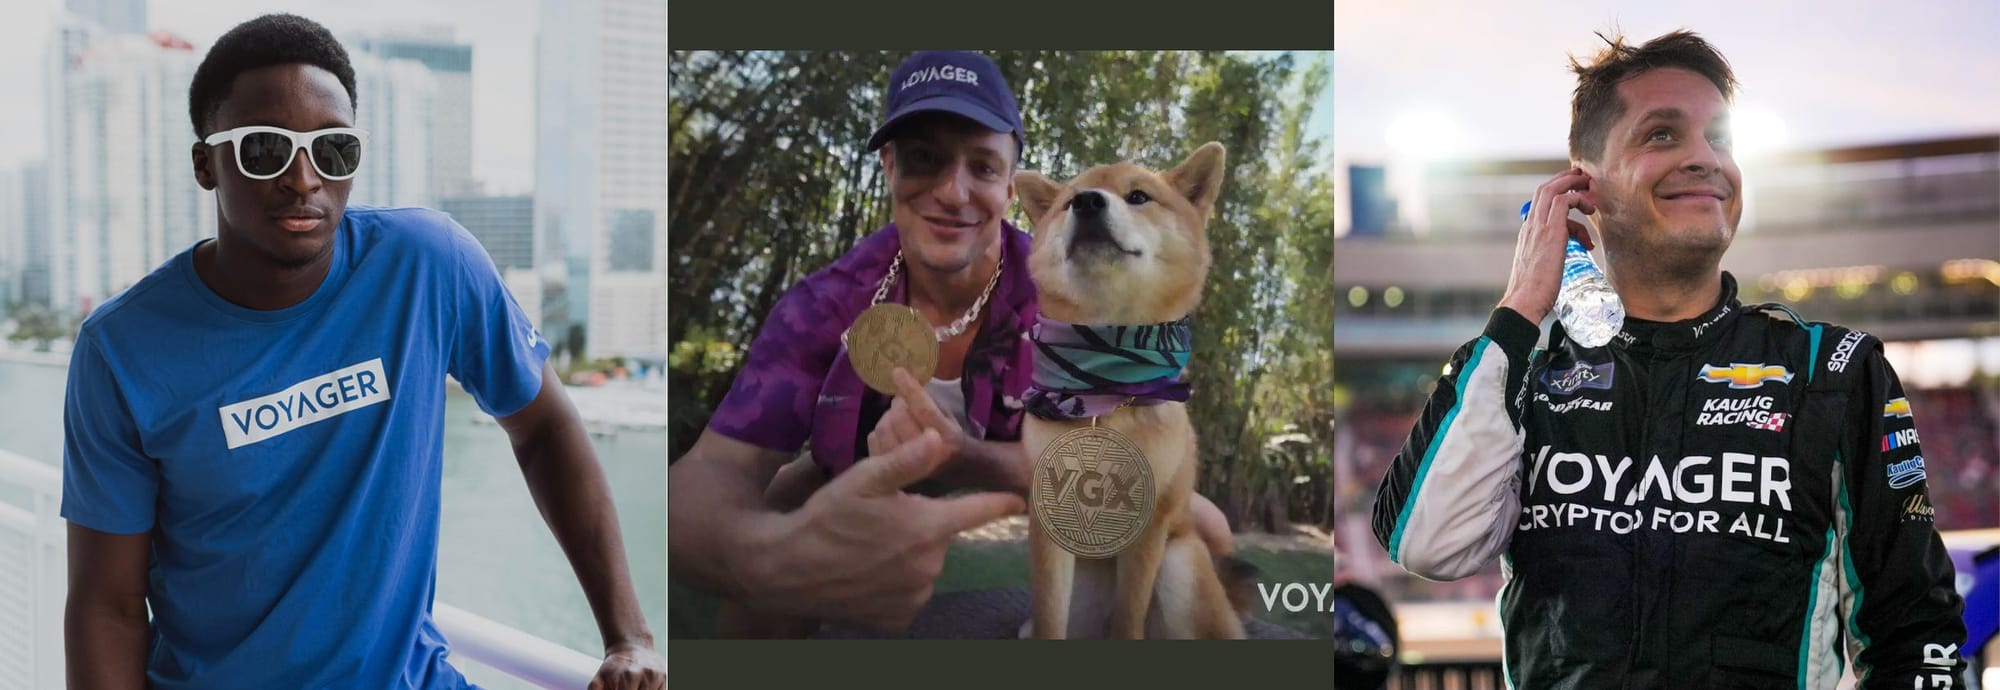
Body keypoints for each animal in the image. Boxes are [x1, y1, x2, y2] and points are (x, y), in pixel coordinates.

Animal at [1024, 141, 1240, 640]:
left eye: (1139, 196)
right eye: (1069, 200)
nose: (1087, 203)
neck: (1105, 386)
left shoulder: (1151, 526)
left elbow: (1129, 618)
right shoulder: (1046, 519)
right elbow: (1048, 618)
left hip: (1180, 563)